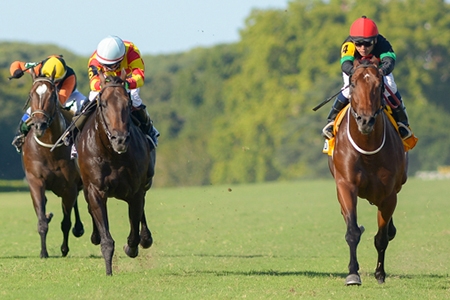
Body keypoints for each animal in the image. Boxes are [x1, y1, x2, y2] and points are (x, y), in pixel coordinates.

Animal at [21, 68, 85, 258]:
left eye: (53, 95)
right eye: (31, 94)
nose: (39, 125)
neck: (49, 150)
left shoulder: (69, 187)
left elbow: (66, 222)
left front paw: (64, 249)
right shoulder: (36, 181)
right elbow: (42, 220)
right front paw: (43, 252)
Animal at [76, 71, 156, 276]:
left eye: (127, 104)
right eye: (103, 104)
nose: (120, 140)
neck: (112, 154)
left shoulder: (135, 191)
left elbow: (134, 233)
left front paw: (131, 247)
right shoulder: (95, 190)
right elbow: (106, 239)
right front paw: (108, 270)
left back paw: (146, 238)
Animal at [326, 56, 408, 286]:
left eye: (379, 85)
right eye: (353, 84)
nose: (365, 120)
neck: (368, 149)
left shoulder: (389, 194)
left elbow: (381, 238)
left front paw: (380, 273)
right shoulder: (346, 185)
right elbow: (352, 231)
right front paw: (353, 273)